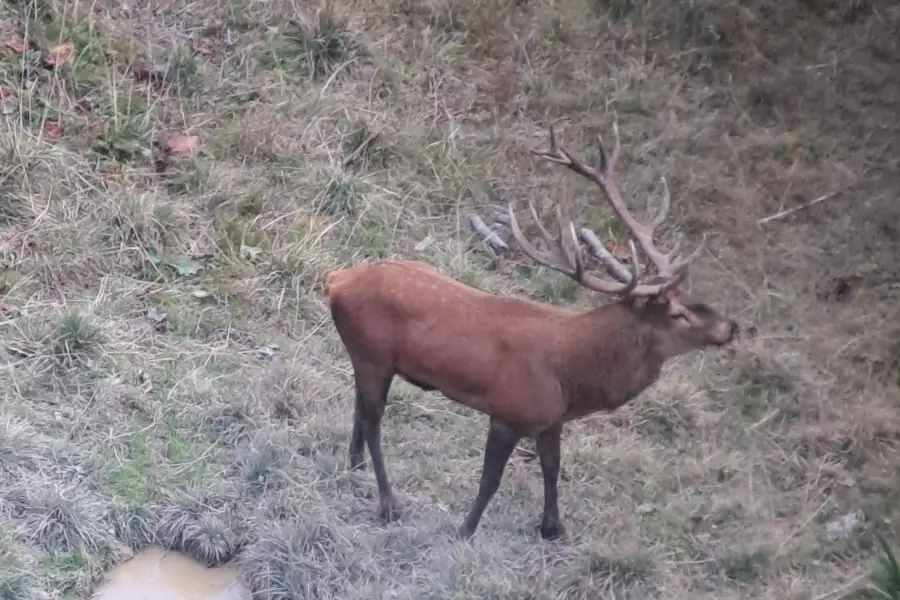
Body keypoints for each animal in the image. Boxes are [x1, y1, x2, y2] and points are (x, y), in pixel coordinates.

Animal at [324, 123, 740, 541]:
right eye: (676, 313)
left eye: (690, 296)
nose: (732, 326)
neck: (573, 375)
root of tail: (336, 280)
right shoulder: (509, 411)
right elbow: (490, 481)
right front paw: (466, 530)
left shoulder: (551, 420)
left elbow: (552, 469)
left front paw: (552, 527)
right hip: (373, 355)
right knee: (374, 423)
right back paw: (388, 503)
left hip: (369, 357)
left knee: (359, 407)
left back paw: (355, 465)